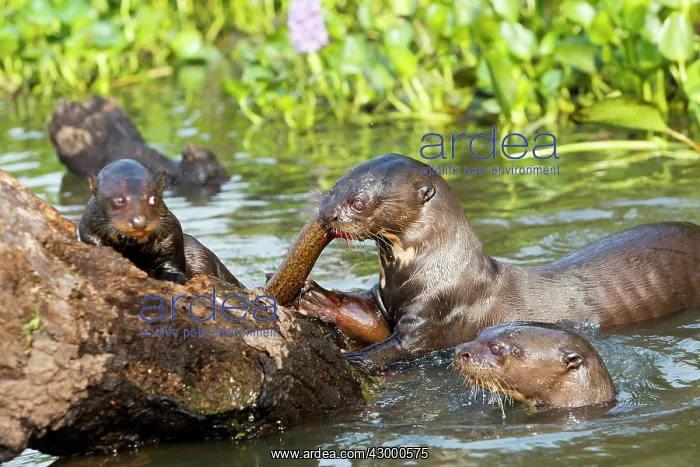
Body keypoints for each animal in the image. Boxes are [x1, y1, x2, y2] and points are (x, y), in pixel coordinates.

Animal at [78, 159, 243, 287]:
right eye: (119, 200)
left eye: (153, 198)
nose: (139, 221)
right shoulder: (88, 223)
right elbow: (88, 236)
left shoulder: (172, 232)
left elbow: (172, 259)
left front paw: (173, 277)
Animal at [296, 153, 700, 372]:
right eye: (333, 189)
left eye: (359, 202)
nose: (327, 214)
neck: (431, 272)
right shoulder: (386, 300)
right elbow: (368, 318)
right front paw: (315, 297)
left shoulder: (436, 314)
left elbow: (397, 347)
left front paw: (352, 361)